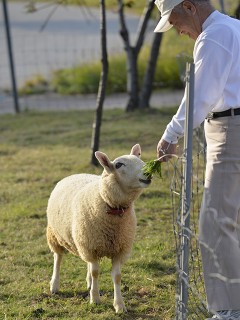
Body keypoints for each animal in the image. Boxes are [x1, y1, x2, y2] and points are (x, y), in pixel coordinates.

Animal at [46, 144, 151, 312]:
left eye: (140, 160)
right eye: (118, 165)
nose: (147, 172)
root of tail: (75, 174)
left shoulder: (118, 248)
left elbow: (117, 277)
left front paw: (119, 305)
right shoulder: (91, 246)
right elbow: (96, 272)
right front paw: (95, 299)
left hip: (83, 239)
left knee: (87, 263)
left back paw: (88, 283)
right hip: (56, 235)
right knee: (58, 257)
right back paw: (54, 285)